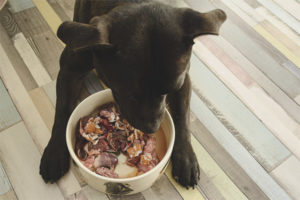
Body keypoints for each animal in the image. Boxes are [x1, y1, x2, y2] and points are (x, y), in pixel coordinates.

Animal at [39, 0, 225, 188]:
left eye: (170, 90)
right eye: (129, 93)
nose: (152, 128)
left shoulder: (184, 79)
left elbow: (182, 116)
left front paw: (186, 158)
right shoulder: (69, 70)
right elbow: (62, 111)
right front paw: (55, 152)